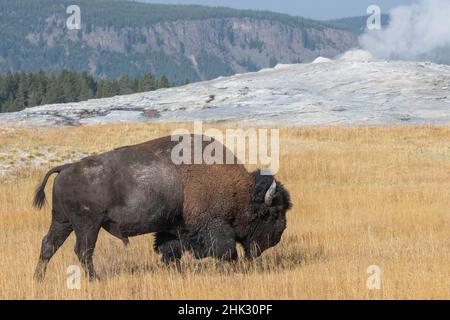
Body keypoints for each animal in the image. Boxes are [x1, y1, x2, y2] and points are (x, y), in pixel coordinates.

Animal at [31, 135, 292, 280]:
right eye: (273, 213)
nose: (278, 236)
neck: (240, 191)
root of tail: (66, 167)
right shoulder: (212, 226)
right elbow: (226, 250)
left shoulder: (172, 228)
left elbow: (170, 251)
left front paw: (176, 272)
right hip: (87, 225)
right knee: (83, 251)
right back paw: (95, 279)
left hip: (63, 222)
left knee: (48, 245)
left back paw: (38, 279)